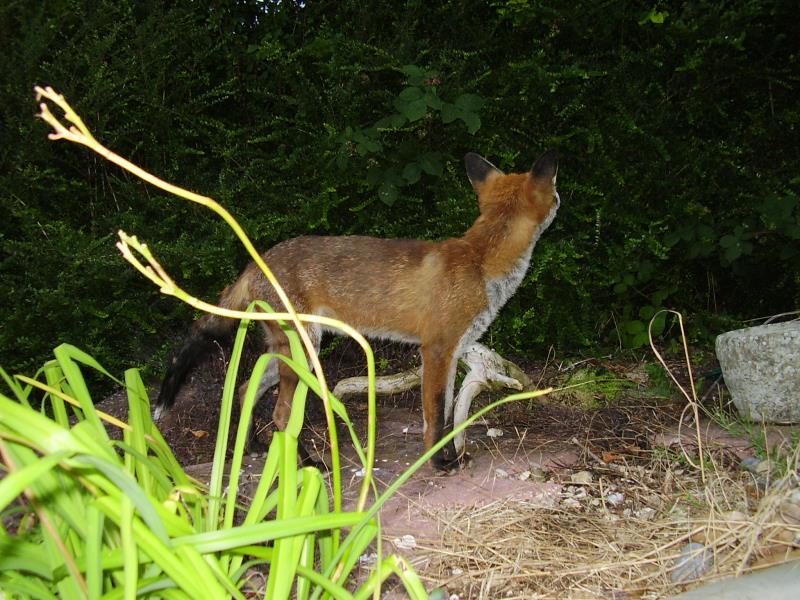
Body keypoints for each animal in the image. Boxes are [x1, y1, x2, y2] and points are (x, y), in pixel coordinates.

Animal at [155, 148, 556, 472]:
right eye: (555, 193)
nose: (561, 197)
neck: (481, 263)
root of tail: (256, 261)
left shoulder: (455, 350)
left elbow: (447, 414)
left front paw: (452, 455)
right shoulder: (436, 349)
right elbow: (434, 418)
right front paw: (439, 463)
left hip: (290, 350)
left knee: (244, 389)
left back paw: (253, 445)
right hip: (303, 352)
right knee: (282, 415)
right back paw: (308, 465)